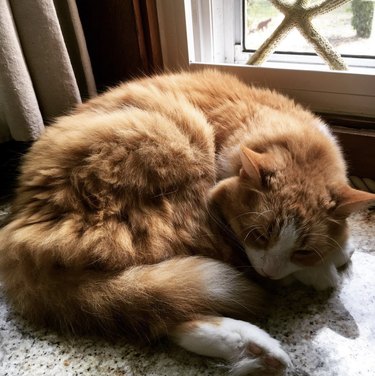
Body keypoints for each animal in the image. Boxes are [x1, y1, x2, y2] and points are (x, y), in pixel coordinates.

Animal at [0, 71, 375, 376]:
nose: (270, 271)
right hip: (178, 148)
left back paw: (257, 350)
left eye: (302, 250)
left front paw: (332, 254)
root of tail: (20, 231)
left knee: (166, 311)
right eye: (258, 234)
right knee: (178, 306)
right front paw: (325, 266)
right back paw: (262, 345)